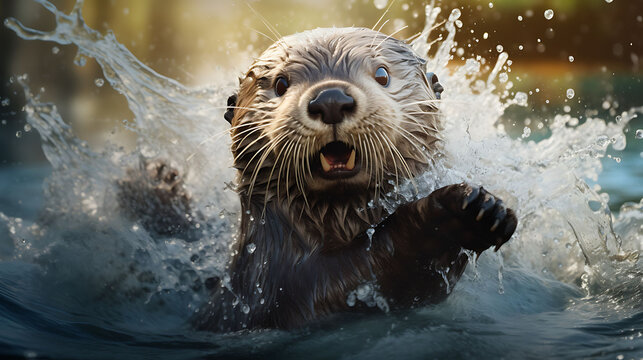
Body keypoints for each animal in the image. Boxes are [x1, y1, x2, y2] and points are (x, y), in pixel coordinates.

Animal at [117, 27, 520, 332]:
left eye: (382, 74)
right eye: (280, 83)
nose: (331, 99)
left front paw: (488, 208)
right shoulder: (284, 287)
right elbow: (379, 265)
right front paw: (458, 212)